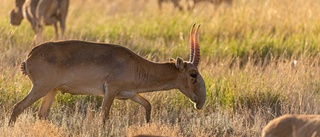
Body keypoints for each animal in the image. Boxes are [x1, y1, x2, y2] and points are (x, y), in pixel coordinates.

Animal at [9, 24, 208, 124]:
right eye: (193, 74)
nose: (200, 102)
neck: (136, 64)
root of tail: (30, 55)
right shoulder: (110, 91)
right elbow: (104, 117)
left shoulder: (130, 94)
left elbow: (148, 105)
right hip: (41, 88)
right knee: (18, 107)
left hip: (52, 91)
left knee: (41, 115)